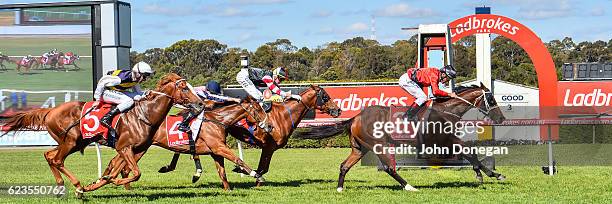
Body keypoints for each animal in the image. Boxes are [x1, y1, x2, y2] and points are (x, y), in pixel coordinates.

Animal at [0, 73, 206, 198]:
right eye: (185, 88)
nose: (201, 104)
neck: (144, 115)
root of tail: (50, 110)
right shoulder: (124, 147)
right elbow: (135, 173)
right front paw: (106, 182)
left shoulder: (133, 149)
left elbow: (116, 170)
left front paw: (100, 182)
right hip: (72, 141)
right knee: (57, 160)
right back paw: (77, 186)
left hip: (71, 142)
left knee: (49, 156)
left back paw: (61, 186)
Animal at [89, 96, 266, 190]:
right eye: (258, 110)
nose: (269, 126)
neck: (218, 120)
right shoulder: (219, 147)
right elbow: (238, 159)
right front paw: (257, 175)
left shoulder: (215, 151)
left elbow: (221, 172)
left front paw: (228, 189)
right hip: (138, 148)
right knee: (123, 167)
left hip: (136, 148)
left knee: (118, 164)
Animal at [158, 84, 342, 186]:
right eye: (325, 96)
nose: (338, 110)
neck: (283, 116)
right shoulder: (268, 146)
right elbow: (262, 167)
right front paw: (250, 175)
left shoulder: (270, 148)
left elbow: (263, 168)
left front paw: (249, 174)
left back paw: (179, 169)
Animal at [296, 82, 506, 191]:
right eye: (492, 99)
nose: (502, 118)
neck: (446, 111)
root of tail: (355, 117)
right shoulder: (443, 141)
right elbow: (469, 152)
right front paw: (491, 174)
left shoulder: (445, 142)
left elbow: (469, 152)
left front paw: (486, 173)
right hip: (379, 145)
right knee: (389, 168)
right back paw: (409, 186)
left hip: (360, 148)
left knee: (344, 165)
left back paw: (340, 188)